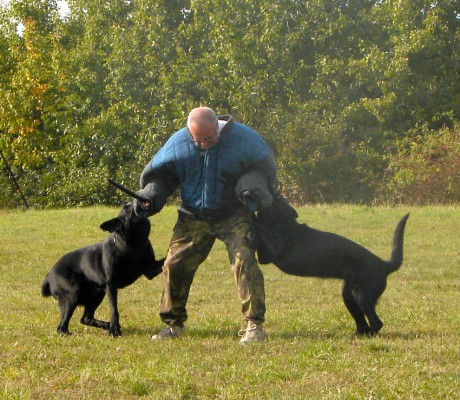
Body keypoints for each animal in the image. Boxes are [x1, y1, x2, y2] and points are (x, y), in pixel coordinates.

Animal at [41, 202, 164, 336]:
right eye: (126, 207)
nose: (134, 200)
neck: (133, 245)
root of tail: (49, 275)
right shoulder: (111, 285)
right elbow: (114, 309)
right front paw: (114, 330)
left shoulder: (151, 270)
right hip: (72, 295)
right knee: (61, 326)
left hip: (97, 294)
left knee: (85, 318)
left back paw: (105, 325)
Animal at [255, 192, 410, 336]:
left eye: (277, 197)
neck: (284, 223)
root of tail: (384, 265)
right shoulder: (265, 257)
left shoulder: (272, 252)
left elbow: (259, 229)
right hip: (349, 296)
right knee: (362, 322)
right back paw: (357, 335)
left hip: (362, 297)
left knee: (377, 323)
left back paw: (369, 334)